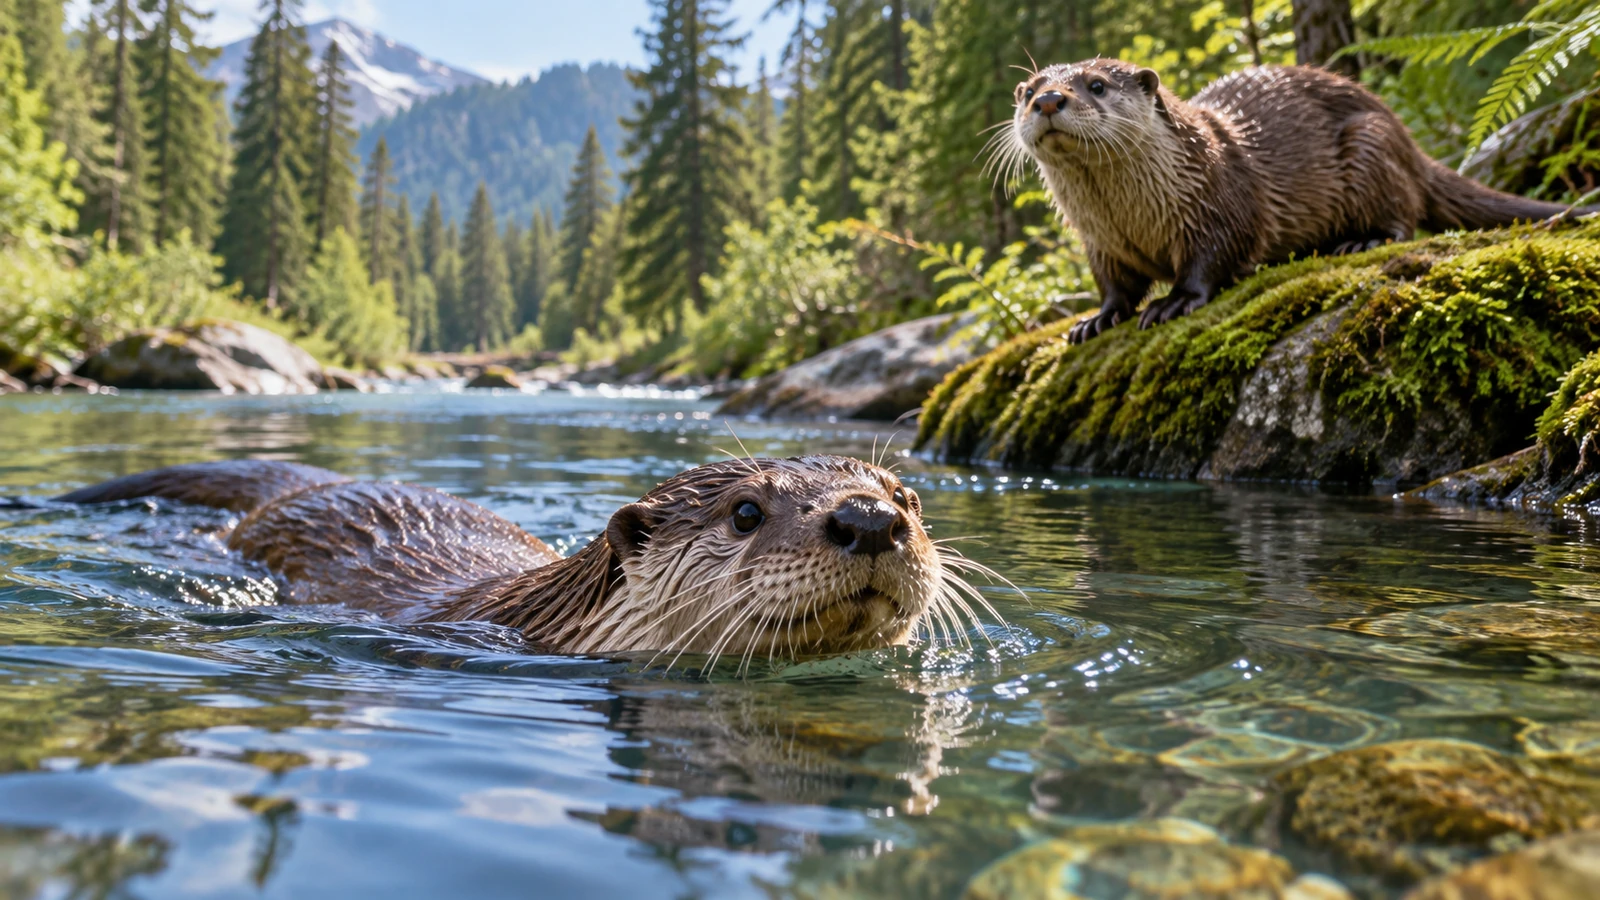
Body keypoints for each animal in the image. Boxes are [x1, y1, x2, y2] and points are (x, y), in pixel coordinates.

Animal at [999, 60, 1594, 343]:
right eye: (1027, 90)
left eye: (1097, 85)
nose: (1048, 100)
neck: (1133, 217)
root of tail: (1408, 142)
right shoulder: (1098, 240)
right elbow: (1114, 285)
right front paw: (1097, 320)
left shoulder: (1221, 202)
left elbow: (1214, 256)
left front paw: (1174, 302)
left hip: (1370, 144)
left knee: (1402, 216)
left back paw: (1360, 241)